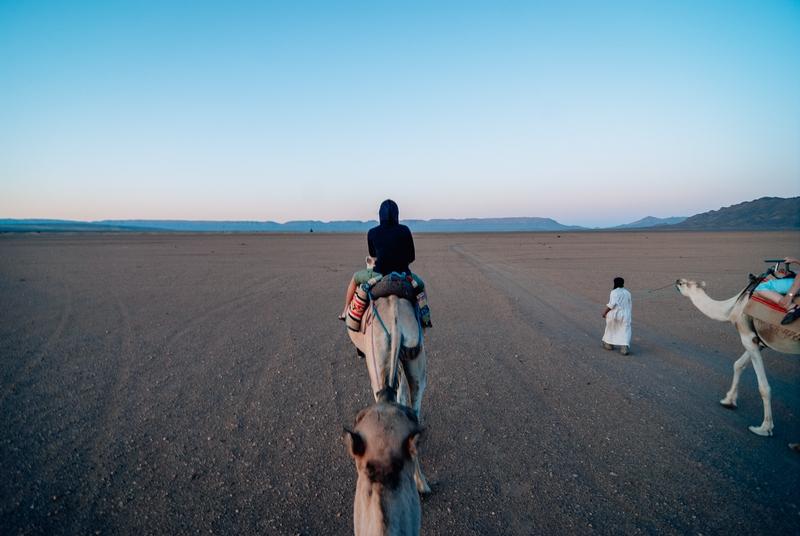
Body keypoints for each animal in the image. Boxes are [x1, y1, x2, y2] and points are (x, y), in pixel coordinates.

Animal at [346, 274, 428, 492]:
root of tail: (395, 318)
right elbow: (401, 395)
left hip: (376, 357)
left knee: (382, 396)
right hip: (414, 355)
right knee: (414, 405)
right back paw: (421, 483)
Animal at [676, 278, 800, 438]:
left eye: (686, 283)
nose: (678, 280)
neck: (732, 307)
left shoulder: (747, 336)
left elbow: (763, 387)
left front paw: (764, 428)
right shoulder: (758, 341)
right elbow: (738, 364)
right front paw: (729, 400)